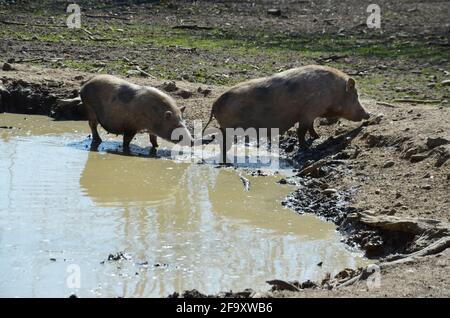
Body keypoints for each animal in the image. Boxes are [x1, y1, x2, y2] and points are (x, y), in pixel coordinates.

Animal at [202, 64, 370, 152]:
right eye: (355, 96)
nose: (368, 114)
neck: (333, 91)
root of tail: (215, 103)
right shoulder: (309, 111)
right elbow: (301, 130)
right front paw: (305, 148)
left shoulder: (310, 114)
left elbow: (310, 127)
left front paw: (317, 137)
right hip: (228, 127)